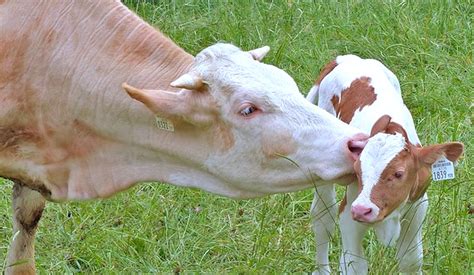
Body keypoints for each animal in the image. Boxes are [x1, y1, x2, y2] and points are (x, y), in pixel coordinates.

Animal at [306, 54, 464, 275]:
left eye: (398, 174)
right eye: (358, 171)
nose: (362, 210)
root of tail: (346, 58)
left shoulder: (417, 208)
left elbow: (410, 260)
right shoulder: (349, 212)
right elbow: (354, 264)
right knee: (323, 217)